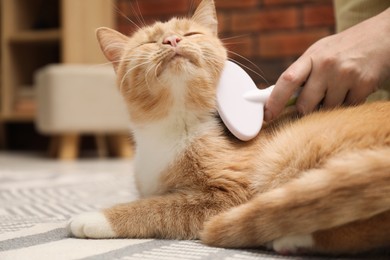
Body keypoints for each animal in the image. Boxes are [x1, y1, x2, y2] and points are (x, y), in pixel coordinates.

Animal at [68, 0, 390, 256]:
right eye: (148, 43)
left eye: (190, 34)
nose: (171, 40)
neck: (175, 127)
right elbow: (152, 200)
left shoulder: (227, 196)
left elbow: (157, 208)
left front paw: (95, 217)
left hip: (289, 154)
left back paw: (291, 238)